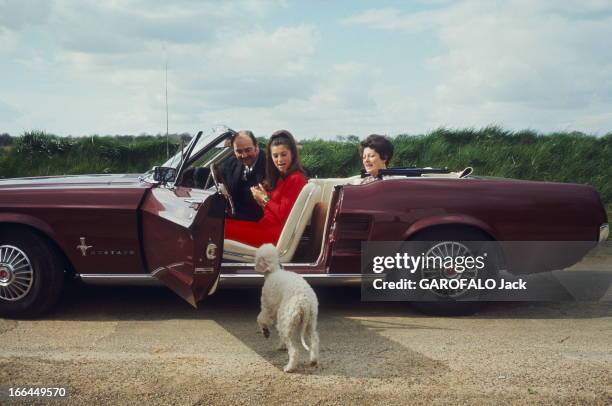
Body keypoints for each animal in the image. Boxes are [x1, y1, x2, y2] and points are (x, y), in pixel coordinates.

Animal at [255, 243, 320, 372]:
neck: (273, 270)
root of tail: (305, 303)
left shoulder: (268, 306)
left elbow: (261, 318)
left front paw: (265, 331)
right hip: (309, 321)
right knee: (314, 341)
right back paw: (313, 360)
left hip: (287, 319)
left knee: (294, 350)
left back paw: (289, 367)